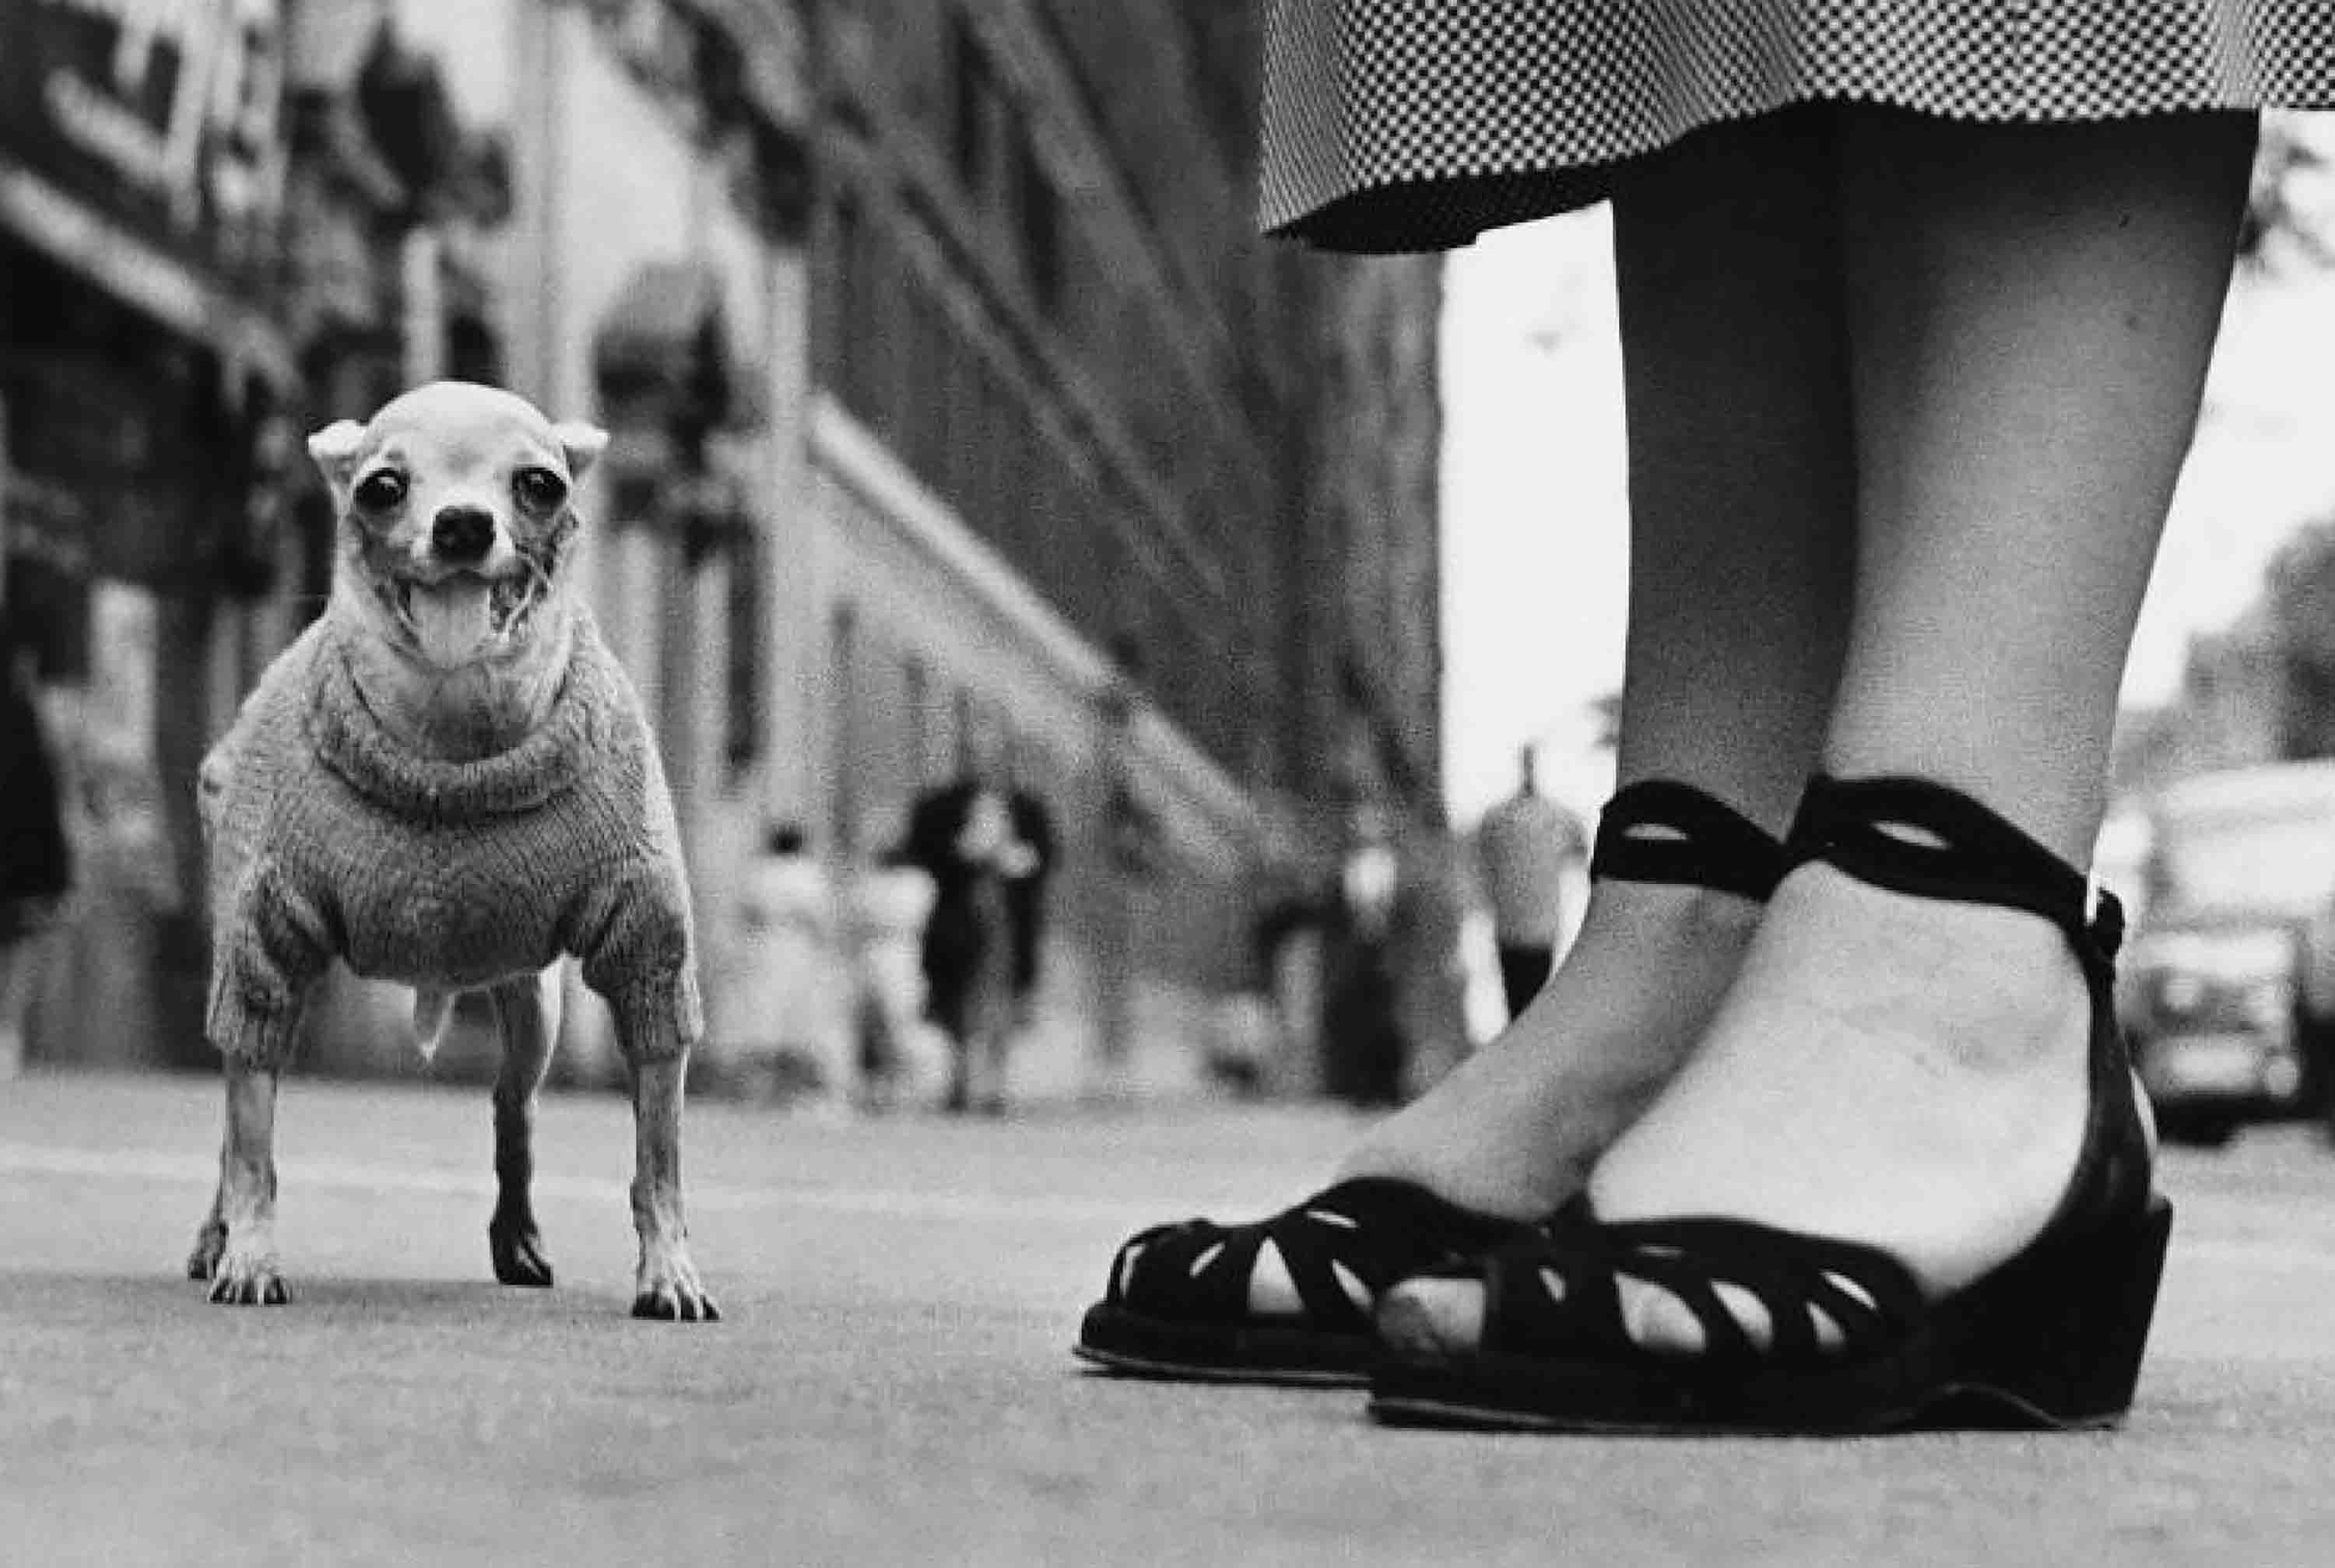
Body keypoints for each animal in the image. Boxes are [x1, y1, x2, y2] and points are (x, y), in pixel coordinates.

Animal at [190, 382, 715, 1325]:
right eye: (382, 487)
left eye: (540, 483)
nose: (464, 524)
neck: (451, 724)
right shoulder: (260, 955)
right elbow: (252, 1142)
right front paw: (248, 1251)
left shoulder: (649, 955)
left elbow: (659, 1156)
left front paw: (669, 1269)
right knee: (234, 1119)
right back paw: (215, 1234)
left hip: (532, 1005)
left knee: (513, 1109)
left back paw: (520, 1236)